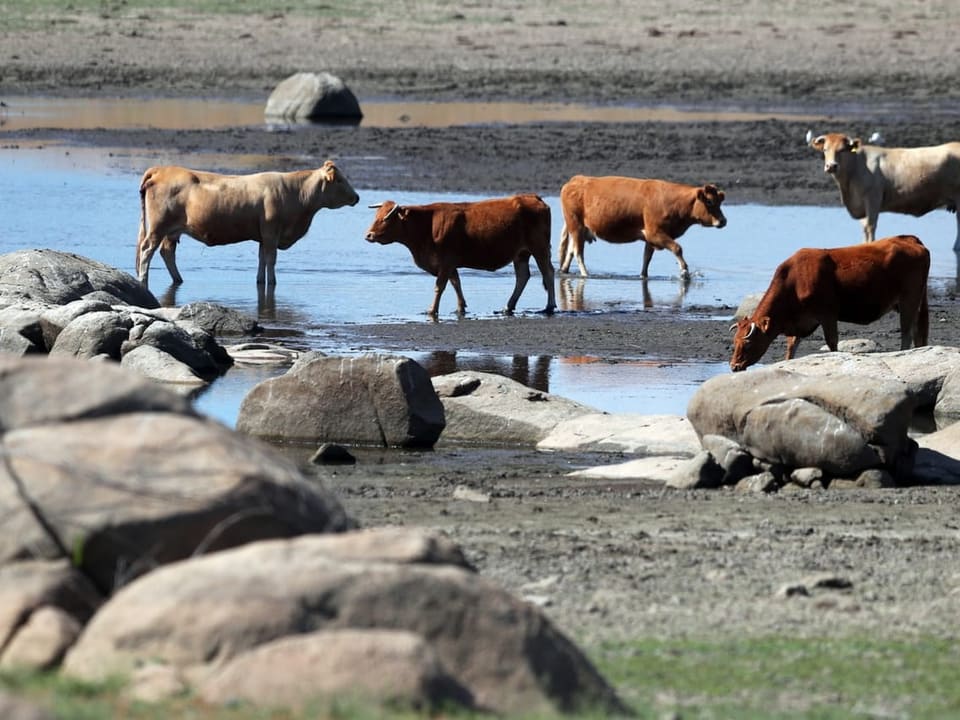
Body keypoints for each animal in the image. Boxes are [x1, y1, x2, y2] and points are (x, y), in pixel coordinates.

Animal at [136, 160, 360, 286]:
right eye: (339, 180)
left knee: (167, 252)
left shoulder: (263, 235)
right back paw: (143, 280)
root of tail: (162, 169)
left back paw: (178, 280)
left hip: (171, 231)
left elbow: (262, 259)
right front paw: (272, 283)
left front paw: (261, 281)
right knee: (147, 250)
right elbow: (271, 260)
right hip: (158, 227)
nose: (357, 197)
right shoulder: (271, 232)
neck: (295, 193)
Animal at [364, 194, 556, 316]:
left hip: (539, 248)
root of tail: (532, 197)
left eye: (386, 218)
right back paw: (508, 307)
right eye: (376, 215)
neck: (427, 225)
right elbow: (456, 283)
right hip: (521, 253)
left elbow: (440, 286)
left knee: (548, 272)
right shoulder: (449, 264)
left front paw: (432, 310)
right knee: (523, 276)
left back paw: (549, 306)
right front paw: (460, 307)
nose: (369, 235)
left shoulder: (446, 261)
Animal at [556, 176, 728, 280]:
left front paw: (643, 275)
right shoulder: (655, 233)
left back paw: (564, 270)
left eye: (720, 202)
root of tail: (576, 180)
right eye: (709, 201)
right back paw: (586, 274)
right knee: (578, 252)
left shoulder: (650, 238)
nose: (723, 221)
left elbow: (647, 258)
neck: (675, 203)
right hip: (576, 225)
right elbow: (677, 248)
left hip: (578, 228)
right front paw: (685, 272)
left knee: (570, 251)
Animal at [728, 235, 928, 372]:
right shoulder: (801, 322)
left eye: (747, 343)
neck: (795, 281)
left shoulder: (828, 314)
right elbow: (791, 347)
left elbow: (832, 342)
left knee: (907, 333)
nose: (733, 366)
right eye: (734, 341)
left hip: (909, 299)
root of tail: (910, 239)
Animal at [808, 131, 960, 248]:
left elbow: (870, 226)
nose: (831, 166)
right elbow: (864, 228)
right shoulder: (861, 203)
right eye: (825, 150)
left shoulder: (873, 198)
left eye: (842, 150)